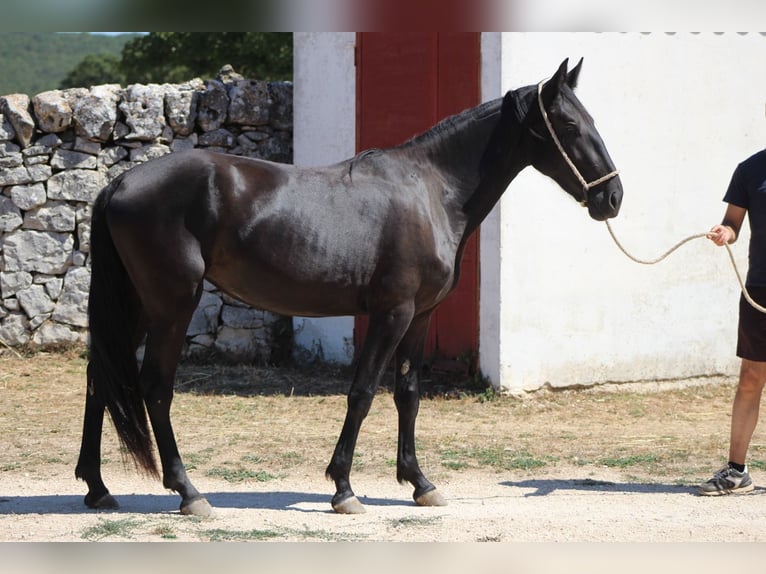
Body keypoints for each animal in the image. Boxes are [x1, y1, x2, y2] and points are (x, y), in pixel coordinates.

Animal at [75, 58, 622, 516]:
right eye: (569, 125)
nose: (613, 197)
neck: (432, 191)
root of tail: (119, 184)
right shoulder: (392, 313)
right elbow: (362, 393)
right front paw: (343, 488)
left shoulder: (420, 317)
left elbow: (408, 394)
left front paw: (420, 483)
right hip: (172, 305)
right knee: (154, 387)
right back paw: (188, 492)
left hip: (137, 306)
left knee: (102, 378)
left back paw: (98, 488)